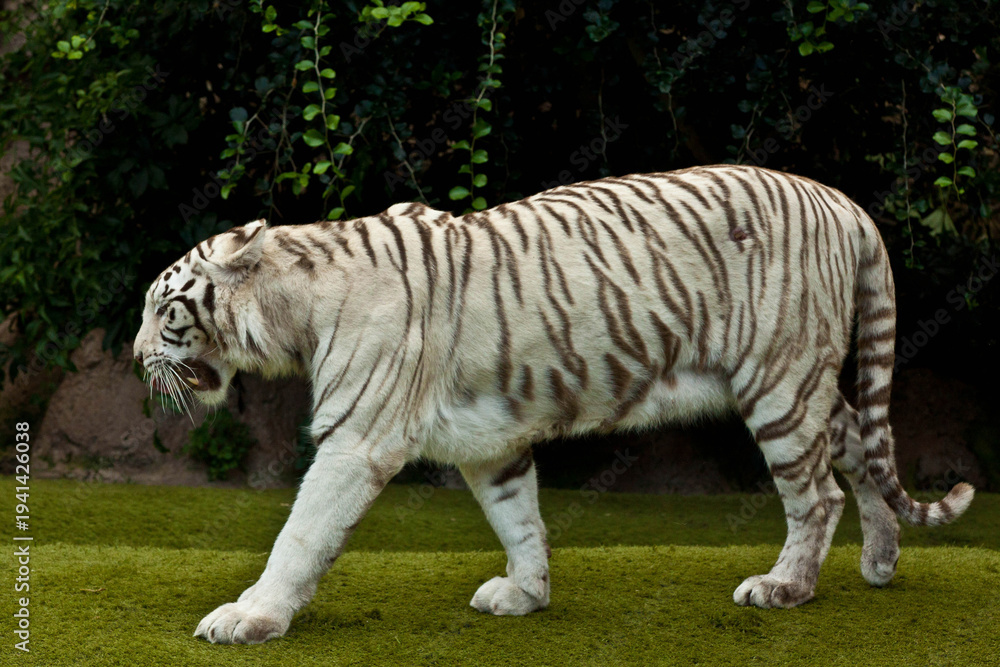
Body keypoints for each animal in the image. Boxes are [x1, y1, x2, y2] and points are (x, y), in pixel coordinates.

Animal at [132, 164, 974, 645]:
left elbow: (299, 535)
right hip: (806, 384)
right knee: (864, 454)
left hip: (779, 381)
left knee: (818, 495)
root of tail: (846, 203)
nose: (137, 358)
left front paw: (250, 617)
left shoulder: (355, 440)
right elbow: (520, 518)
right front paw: (527, 594)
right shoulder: (489, 442)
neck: (294, 306)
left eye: (163, 309)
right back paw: (880, 561)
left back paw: (785, 587)